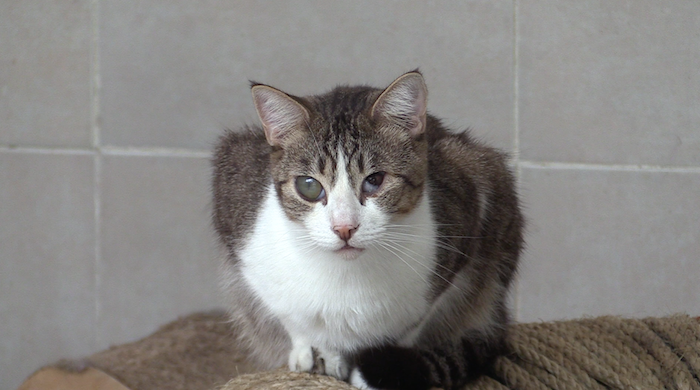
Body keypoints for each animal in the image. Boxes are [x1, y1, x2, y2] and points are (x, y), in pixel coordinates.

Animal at [211, 71, 524, 390]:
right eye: (308, 185)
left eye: (375, 180)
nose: (344, 227)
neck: (347, 279)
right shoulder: (237, 218)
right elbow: (291, 318)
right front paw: (315, 351)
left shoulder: (466, 218)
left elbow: (411, 328)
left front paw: (376, 368)